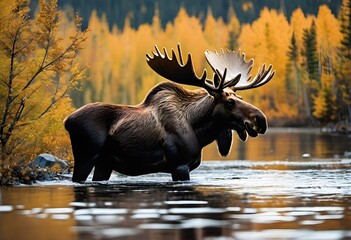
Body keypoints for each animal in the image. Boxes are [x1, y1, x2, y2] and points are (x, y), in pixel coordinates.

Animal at [64, 43, 276, 182]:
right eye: (230, 102)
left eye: (240, 97)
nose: (261, 120)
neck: (199, 130)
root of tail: (67, 121)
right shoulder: (180, 165)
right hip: (85, 156)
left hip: (104, 163)